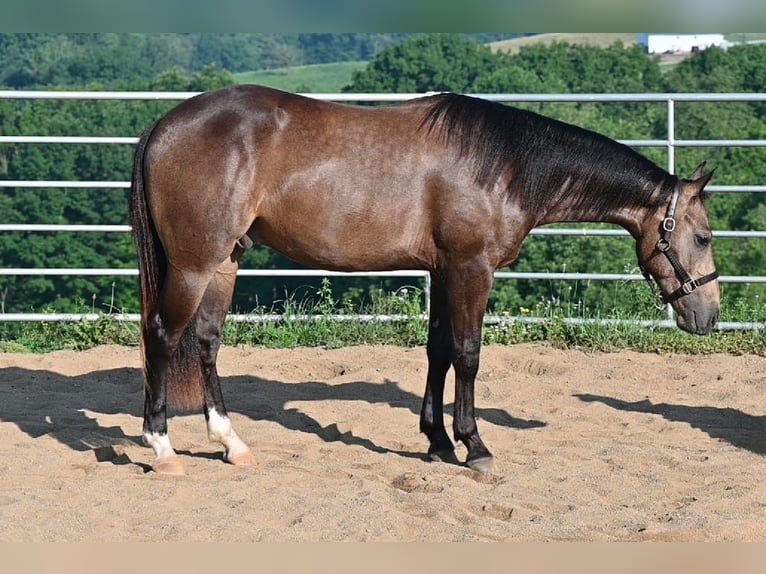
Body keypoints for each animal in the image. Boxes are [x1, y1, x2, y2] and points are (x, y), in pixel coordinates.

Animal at [129, 84, 719, 476]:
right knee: (162, 336)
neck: (502, 165)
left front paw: (437, 442)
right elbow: (468, 354)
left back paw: (231, 443)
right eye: (704, 236)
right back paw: (162, 447)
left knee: (206, 342)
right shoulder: (470, 268)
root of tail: (164, 124)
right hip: (194, 265)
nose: (708, 315)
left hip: (224, 262)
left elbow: (438, 352)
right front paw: (474, 446)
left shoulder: (442, 270)